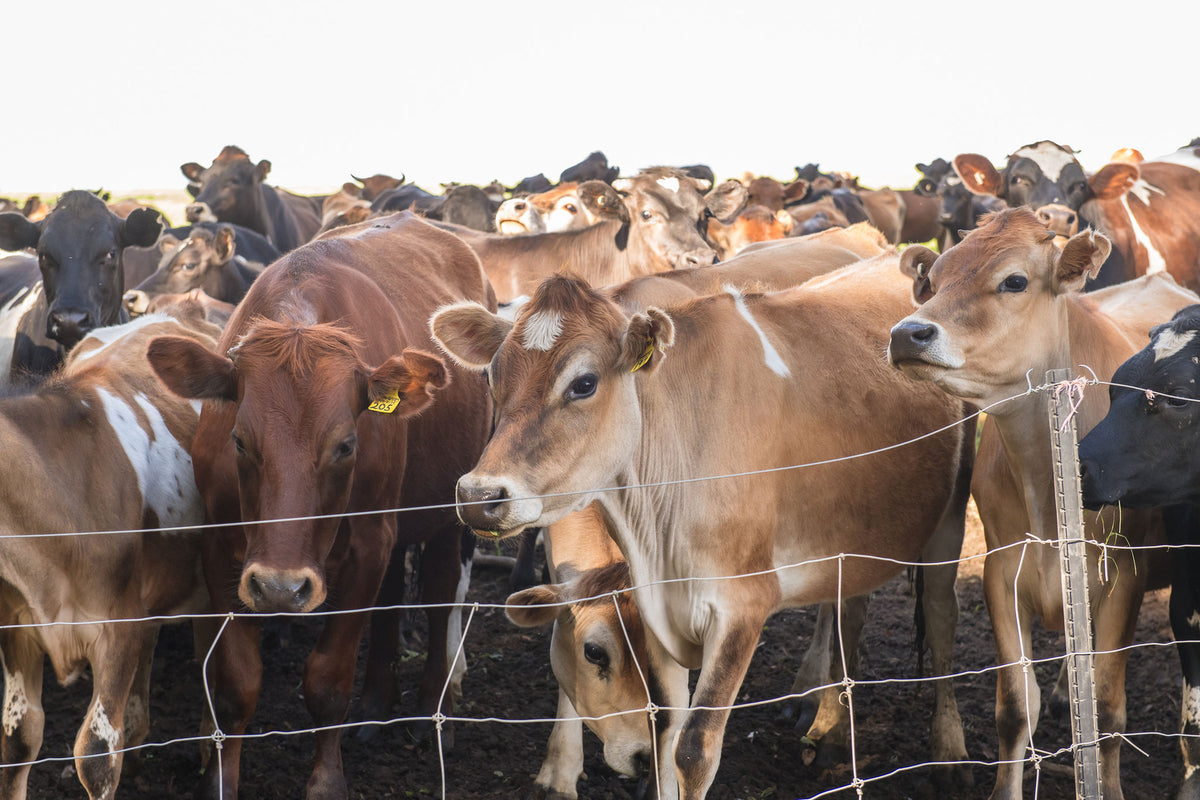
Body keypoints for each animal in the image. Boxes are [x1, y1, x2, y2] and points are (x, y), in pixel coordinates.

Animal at [146, 211, 493, 800]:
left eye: (346, 445)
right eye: (239, 440)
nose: (282, 589)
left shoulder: (369, 542)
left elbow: (328, 679)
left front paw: (327, 781)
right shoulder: (221, 545)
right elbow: (237, 682)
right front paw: (221, 779)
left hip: (444, 511)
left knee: (440, 591)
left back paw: (429, 712)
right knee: (391, 598)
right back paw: (376, 709)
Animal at [431, 251, 975, 798]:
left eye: (584, 383)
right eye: (492, 377)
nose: (478, 497)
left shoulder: (743, 606)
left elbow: (693, 750)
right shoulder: (655, 607)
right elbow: (667, 726)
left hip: (950, 518)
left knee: (942, 616)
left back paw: (949, 753)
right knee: (850, 607)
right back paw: (831, 725)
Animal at [887, 207, 1200, 800]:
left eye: (1014, 281)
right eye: (932, 281)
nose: (906, 332)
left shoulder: (1123, 580)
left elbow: (1107, 709)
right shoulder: (1003, 573)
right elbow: (1015, 708)